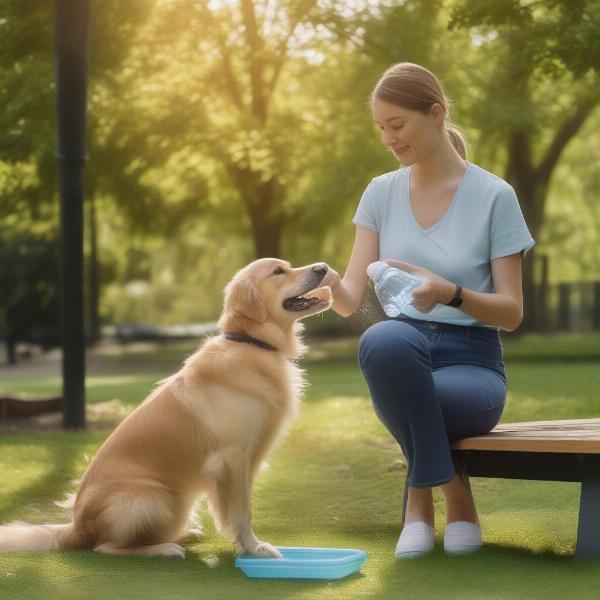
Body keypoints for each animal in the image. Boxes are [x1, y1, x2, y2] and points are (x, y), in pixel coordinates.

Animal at [0, 258, 332, 556]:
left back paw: (186, 532)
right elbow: (241, 510)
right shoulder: (233, 456)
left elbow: (232, 508)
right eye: (278, 271)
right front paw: (254, 547)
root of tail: (76, 527)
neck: (250, 344)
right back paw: (165, 548)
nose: (323, 268)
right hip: (149, 497)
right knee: (106, 547)